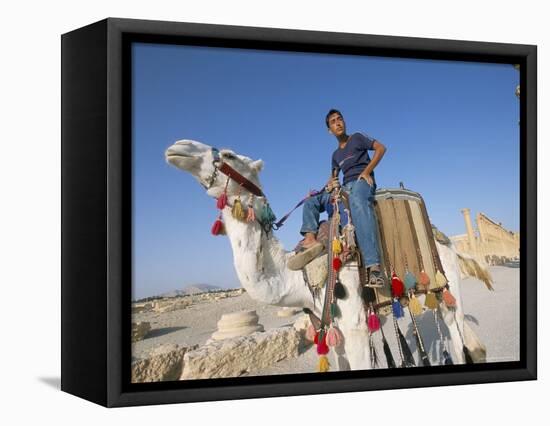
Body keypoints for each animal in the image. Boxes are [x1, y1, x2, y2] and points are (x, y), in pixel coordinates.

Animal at [166, 139, 494, 370]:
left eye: (230, 155)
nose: (178, 147)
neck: (297, 278)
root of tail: (446, 240)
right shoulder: (332, 332)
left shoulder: (356, 327)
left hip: (448, 284)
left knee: (455, 333)